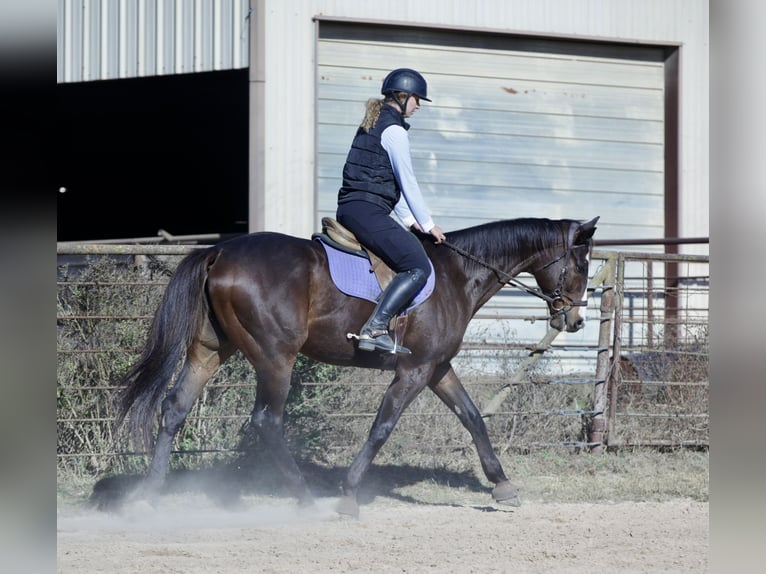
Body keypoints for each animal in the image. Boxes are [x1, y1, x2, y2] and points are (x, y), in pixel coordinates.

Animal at [115, 216, 599, 518]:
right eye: (580, 263)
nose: (575, 321)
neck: (457, 274)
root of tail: (220, 253)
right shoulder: (414, 372)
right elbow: (382, 427)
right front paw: (348, 495)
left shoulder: (437, 368)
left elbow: (473, 417)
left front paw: (503, 486)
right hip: (275, 358)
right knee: (267, 420)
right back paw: (305, 498)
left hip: (211, 350)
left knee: (175, 408)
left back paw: (148, 498)